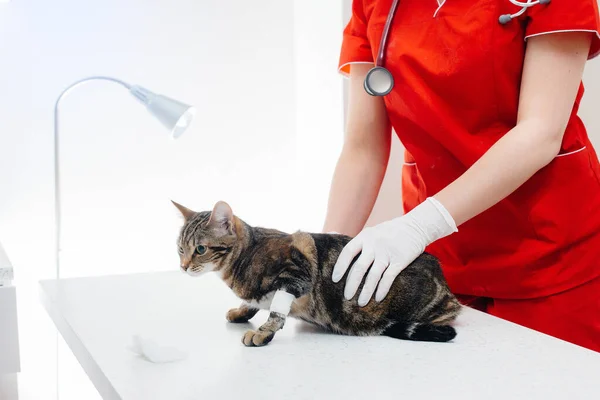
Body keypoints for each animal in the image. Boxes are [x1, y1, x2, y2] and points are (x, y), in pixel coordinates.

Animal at [171, 200, 462, 346]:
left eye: (200, 249)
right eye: (179, 249)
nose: (183, 266)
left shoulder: (298, 269)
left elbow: (277, 311)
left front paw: (264, 330)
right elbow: (253, 301)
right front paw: (243, 310)